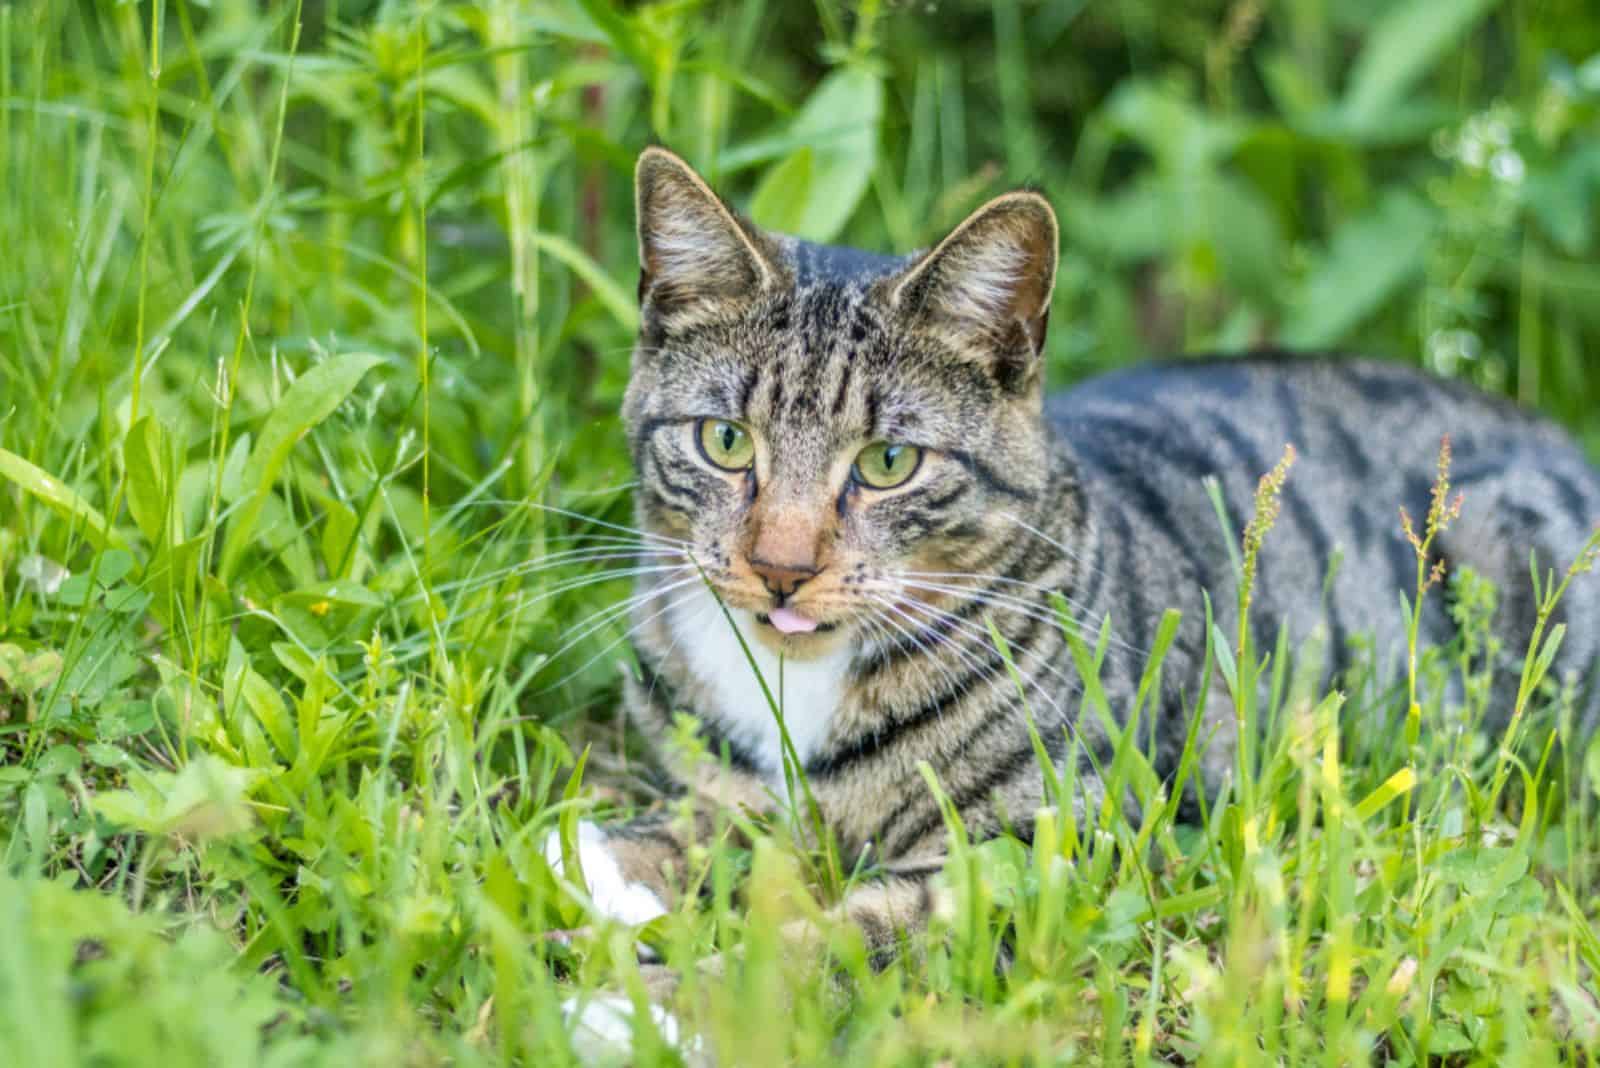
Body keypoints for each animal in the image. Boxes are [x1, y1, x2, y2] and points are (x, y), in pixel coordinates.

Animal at [540, 146, 1600, 978]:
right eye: (724, 441)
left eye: (888, 463)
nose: (780, 569)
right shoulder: (735, 800)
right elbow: (664, 833)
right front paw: (584, 875)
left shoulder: (1042, 846)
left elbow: (833, 944)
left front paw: (661, 1002)